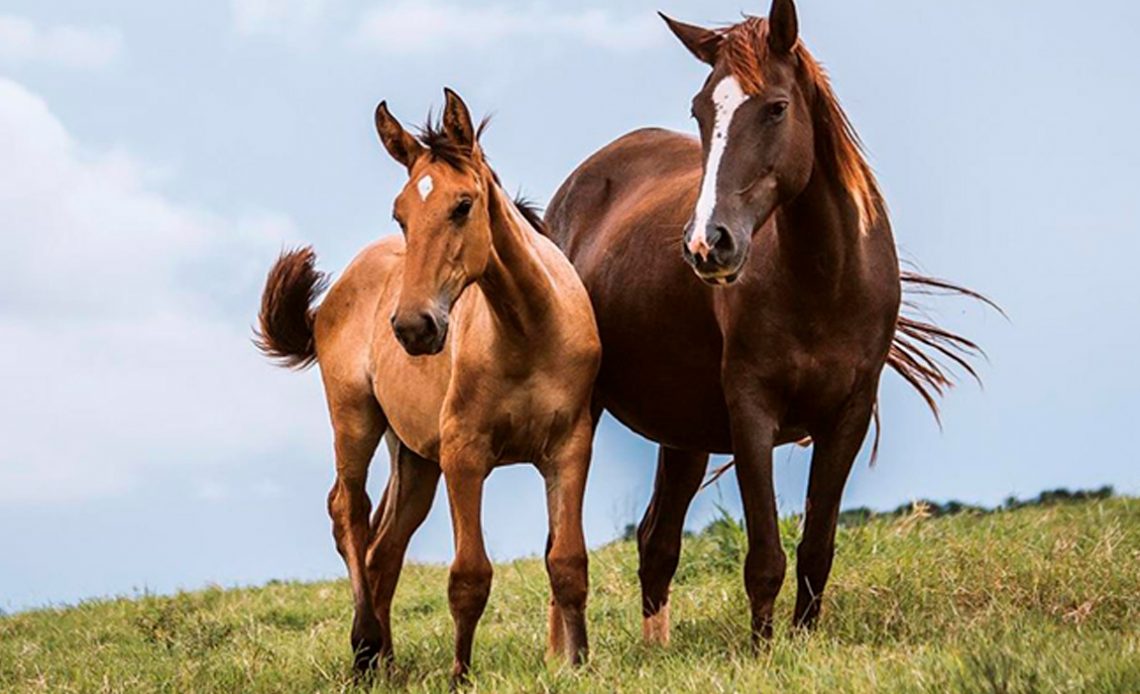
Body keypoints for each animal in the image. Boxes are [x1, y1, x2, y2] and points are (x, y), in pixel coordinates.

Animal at [255, 87, 601, 683]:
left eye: (463, 205)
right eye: (401, 214)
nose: (414, 327)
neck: (528, 330)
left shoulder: (569, 448)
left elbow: (567, 562)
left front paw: (575, 664)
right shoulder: (466, 455)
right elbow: (469, 577)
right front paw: (461, 674)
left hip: (414, 457)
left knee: (384, 545)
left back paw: (386, 664)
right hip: (355, 418)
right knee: (349, 511)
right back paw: (365, 647)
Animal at [542, 1, 989, 642]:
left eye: (776, 107)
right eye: (700, 111)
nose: (707, 244)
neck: (824, 281)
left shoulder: (848, 417)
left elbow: (816, 548)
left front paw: (803, 639)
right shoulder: (751, 412)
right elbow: (765, 557)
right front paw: (764, 649)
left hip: (684, 433)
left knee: (657, 541)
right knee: (566, 541)